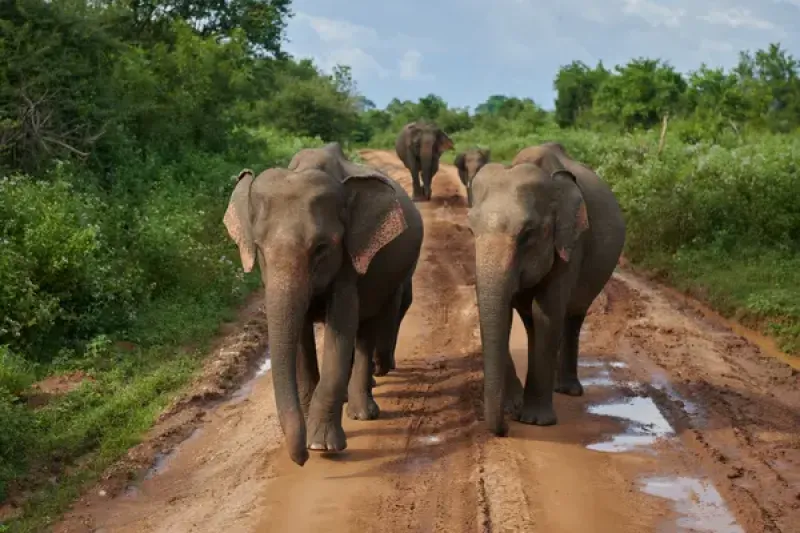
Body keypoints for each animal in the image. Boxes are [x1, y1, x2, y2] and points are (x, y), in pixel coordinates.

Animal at [223, 142, 423, 466]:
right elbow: (301, 333)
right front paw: (309, 428)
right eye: (260, 249)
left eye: (321, 249)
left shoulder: (351, 262)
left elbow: (341, 327)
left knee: (367, 327)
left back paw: (362, 412)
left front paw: (321, 446)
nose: (301, 459)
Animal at [468, 142, 626, 436]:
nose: (505, 428)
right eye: (471, 230)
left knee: (573, 316)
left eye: (528, 234)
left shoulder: (571, 243)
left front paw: (534, 421)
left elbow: (548, 312)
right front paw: (514, 407)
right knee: (532, 322)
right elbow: (508, 312)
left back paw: (567, 390)